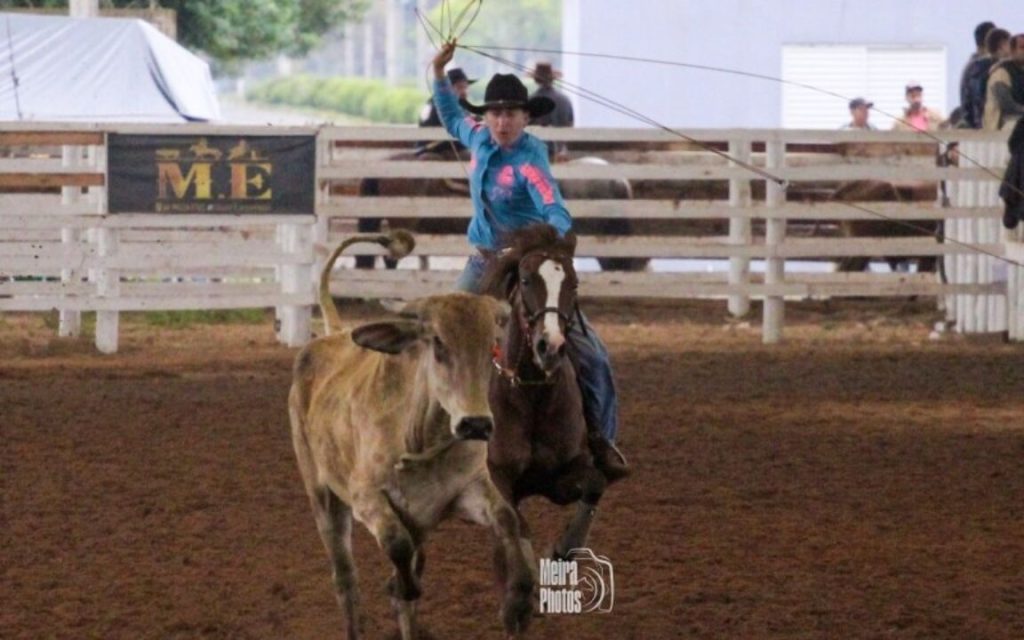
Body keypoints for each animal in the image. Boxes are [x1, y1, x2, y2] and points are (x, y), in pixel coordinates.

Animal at [477, 223, 610, 573]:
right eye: (525, 280)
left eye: (573, 283)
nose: (550, 346)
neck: (530, 392)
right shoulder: (499, 476)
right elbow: (516, 525)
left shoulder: (568, 472)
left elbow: (594, 484)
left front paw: (565, 547)